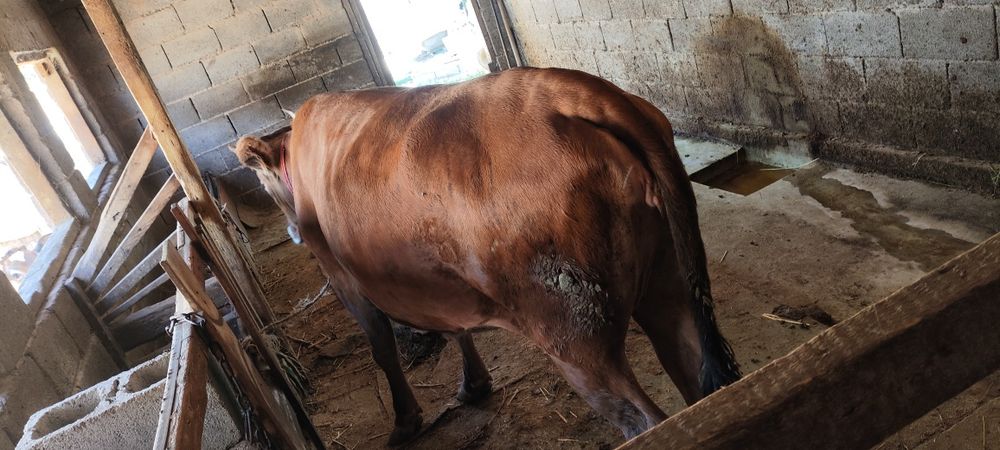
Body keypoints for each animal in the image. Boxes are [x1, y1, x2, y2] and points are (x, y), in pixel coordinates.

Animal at [232, 67, 740, 445]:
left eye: (264, 183)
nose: (292, 232)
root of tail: (578, 91)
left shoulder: (342, 277)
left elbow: (382, 347)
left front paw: (405, 421)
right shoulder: (433, 280)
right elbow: (453, 328)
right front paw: (474, 384)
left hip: (575, 333)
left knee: (645, 419)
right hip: (669, 283)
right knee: (698, 377)